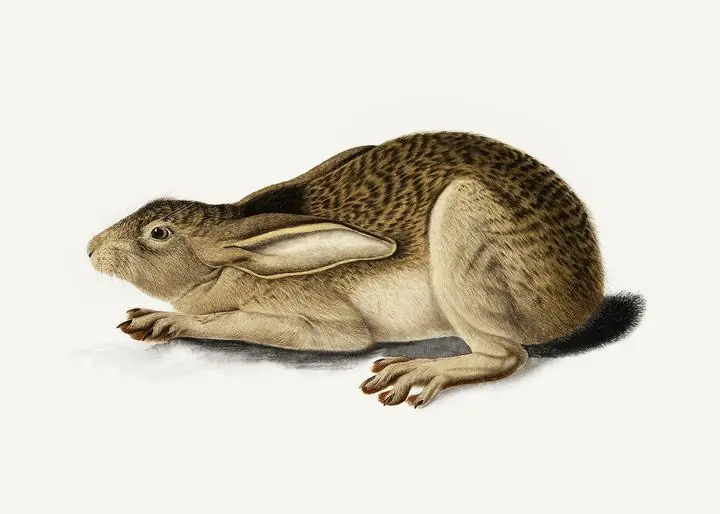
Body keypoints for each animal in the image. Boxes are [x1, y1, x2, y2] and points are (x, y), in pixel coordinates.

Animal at [88, 131, 644, 408]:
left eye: (158, 233)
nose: (91, 248)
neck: (234, 259)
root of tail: (584, 296)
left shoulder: (324, 325)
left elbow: (230, 323)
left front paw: (166, 321)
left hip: (463, 228)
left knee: (508, 355)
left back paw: (418, 372)